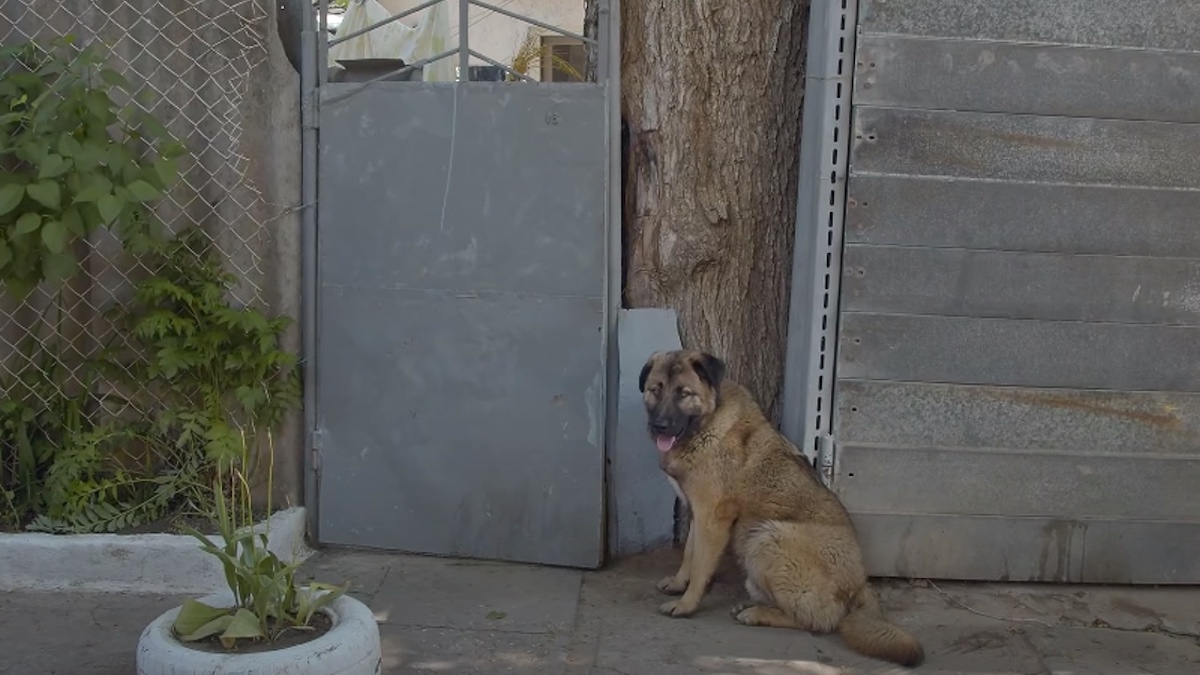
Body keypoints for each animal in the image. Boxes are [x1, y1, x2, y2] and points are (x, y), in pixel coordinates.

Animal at [643, 348, 921, 662]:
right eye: (655, 390)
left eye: (684, 393)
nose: (659, 426)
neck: (707, 422)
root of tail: (861, 581)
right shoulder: (698, 514)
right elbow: (690, 555)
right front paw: (679, 584)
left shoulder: (711, 519)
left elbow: (701, 565)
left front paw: (686, 604)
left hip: (767, 537)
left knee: (821, 620)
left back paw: (758, 614)